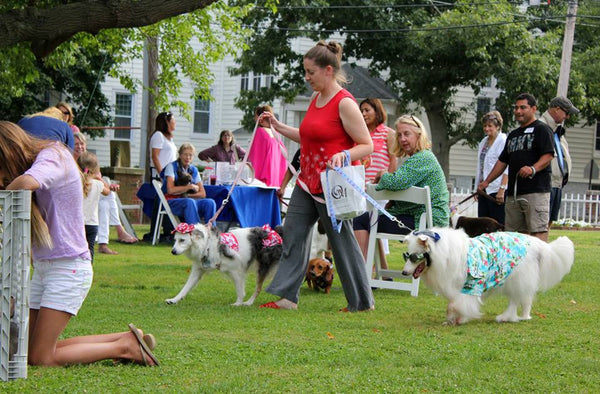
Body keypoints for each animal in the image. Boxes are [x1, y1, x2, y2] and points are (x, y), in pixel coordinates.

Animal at [400, 226, 576, 324]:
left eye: (415, 257)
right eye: (406, 256)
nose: (403, 272)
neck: (444, 254)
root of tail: (537, 243)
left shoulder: (471, 285)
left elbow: (456, 304)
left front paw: (455, 317)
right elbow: (455, 303)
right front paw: (458, 318)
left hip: (518, 278)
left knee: (520, 300)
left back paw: (517, 317)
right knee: (520, 300)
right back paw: (512, 317)